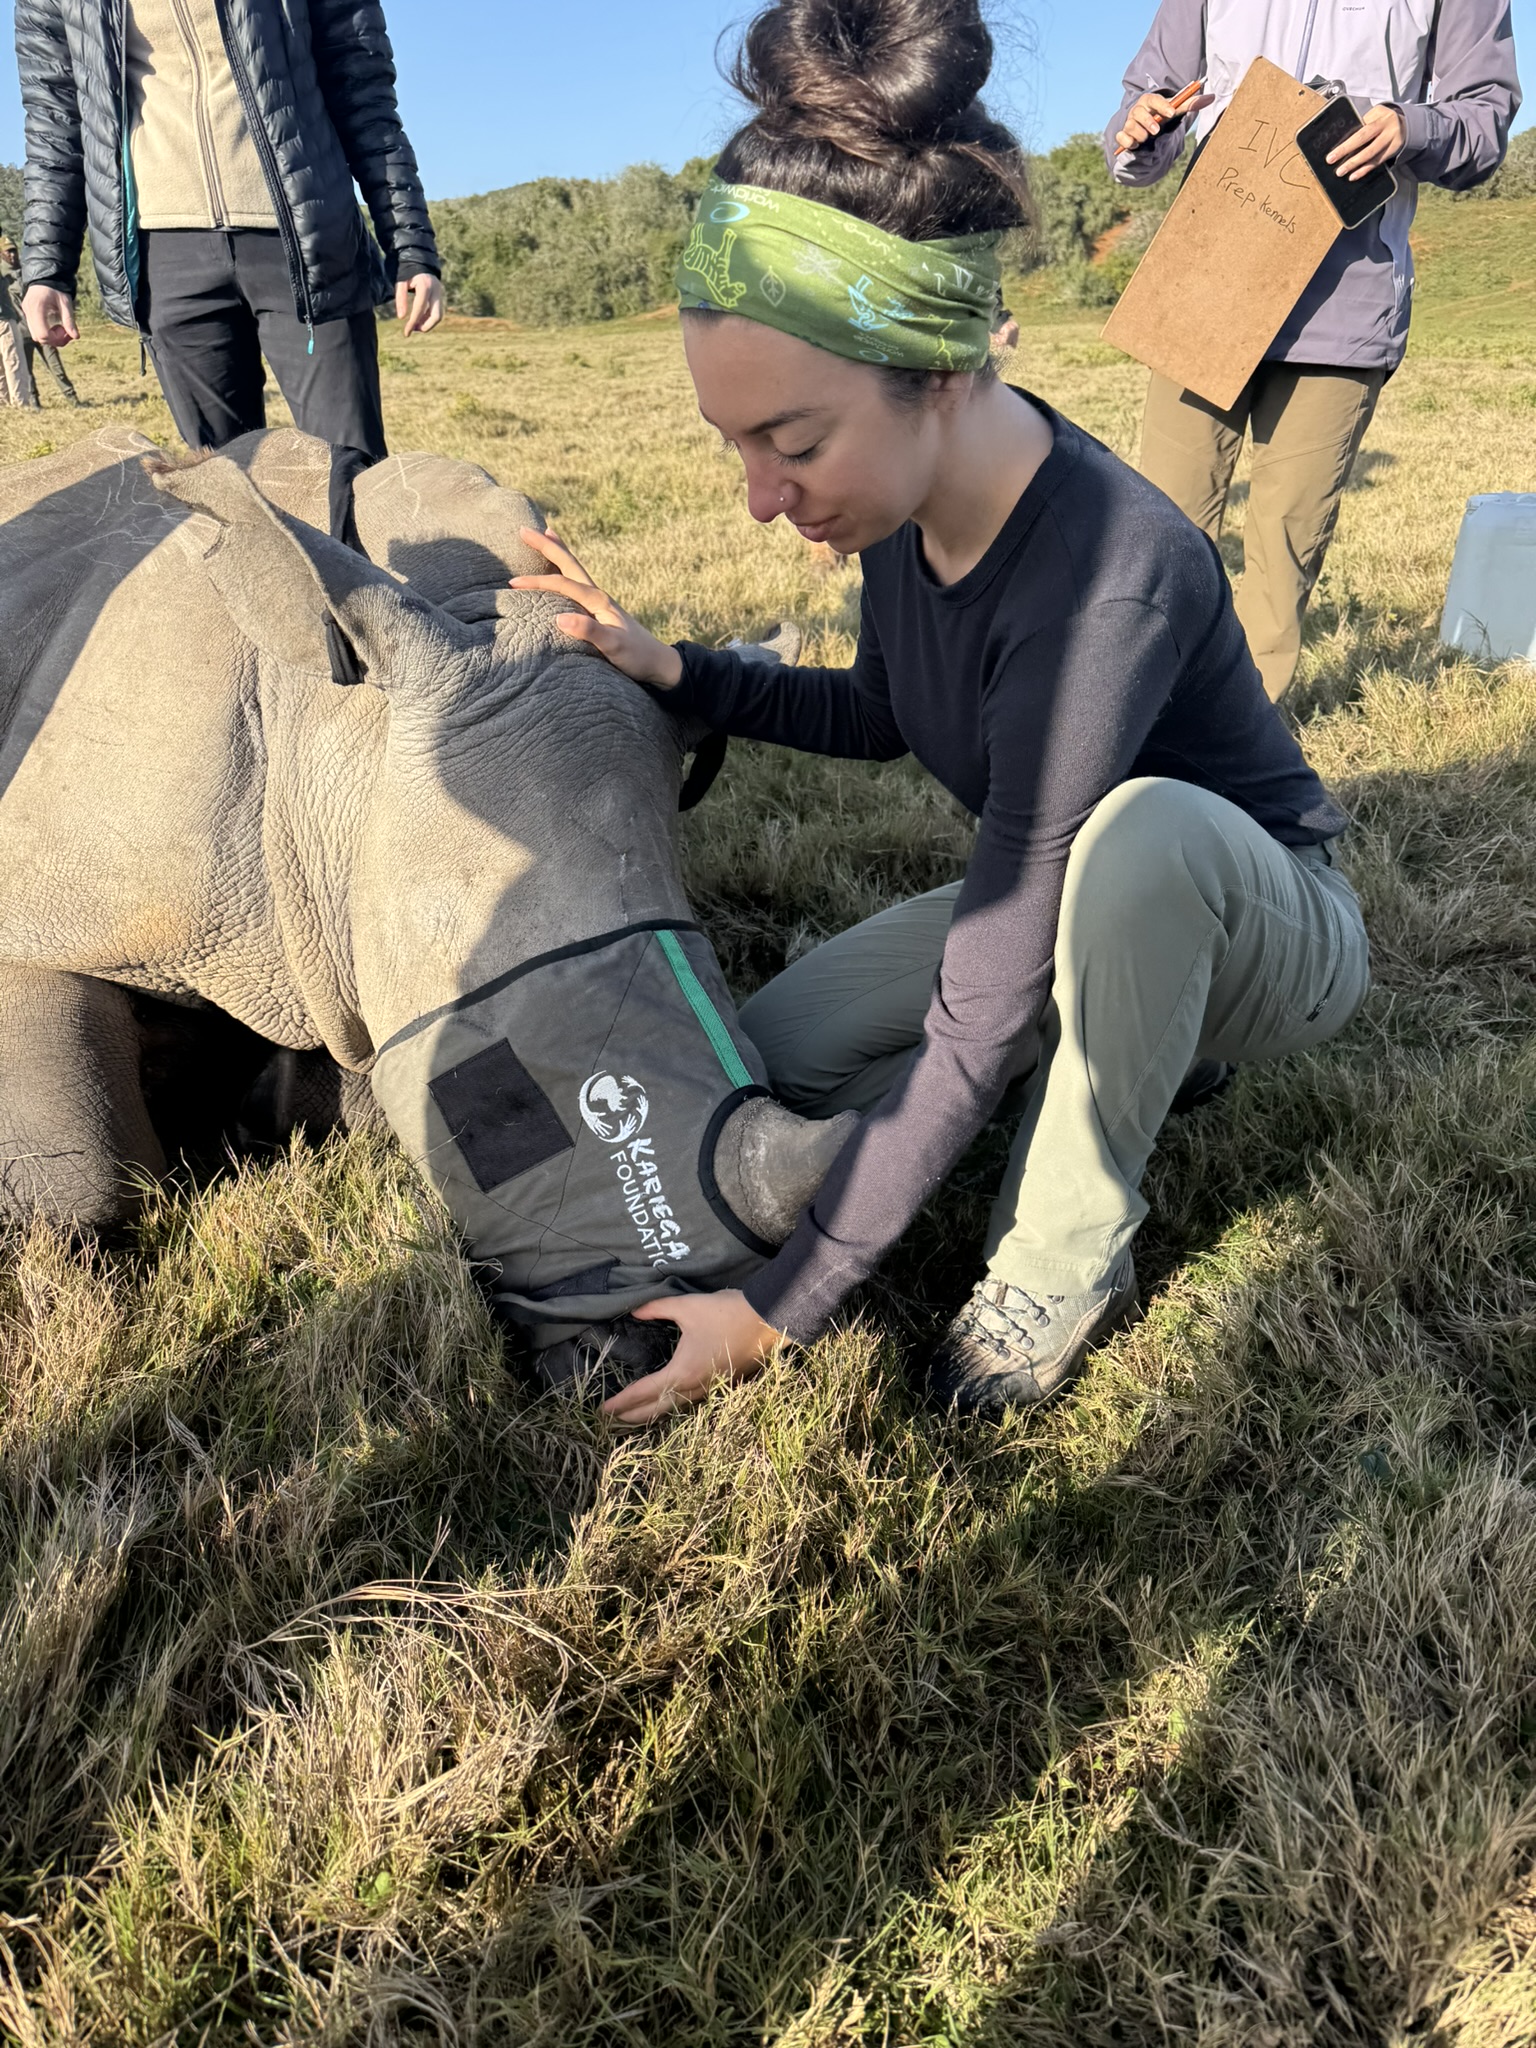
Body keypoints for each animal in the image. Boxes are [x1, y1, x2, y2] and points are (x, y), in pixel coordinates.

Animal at [0, 427, 853, 1380]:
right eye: (502, 1103)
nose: (663, 1345)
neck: (328, 727)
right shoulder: (47, 912)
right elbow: (92, 1183)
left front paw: (267, 1110)